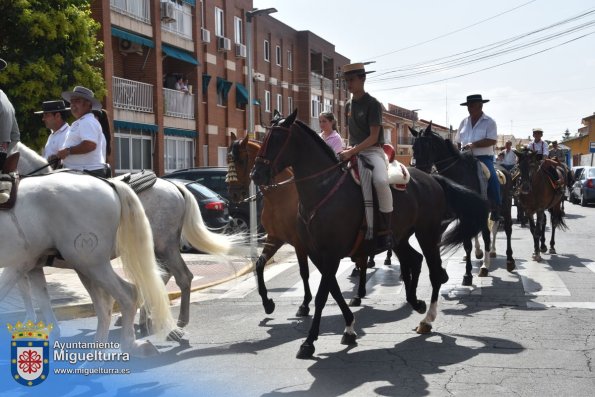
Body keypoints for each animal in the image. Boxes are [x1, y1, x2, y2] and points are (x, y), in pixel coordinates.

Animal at [11, 141, 235, 332]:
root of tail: (175, 186)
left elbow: (26, 291)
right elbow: (31, 293)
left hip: (164, 245)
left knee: (181, 276)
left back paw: (177, 321)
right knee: (162, 275)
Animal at [251, 109, 488, 358]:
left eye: (276, 139)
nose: (256, 174)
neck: (323, 190)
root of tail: (432, 178)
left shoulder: (331, 254)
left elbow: (322, 295)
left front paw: (309, 341)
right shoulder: (316, 254)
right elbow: (334, 290)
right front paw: (349, 327)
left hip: (428, 234)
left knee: (434, 272)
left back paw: (428, 318)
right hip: (401, 238)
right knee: (414, 260)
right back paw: (415, 302)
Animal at [412, 124, 516, 284]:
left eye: (427, 145)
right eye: (413, 147)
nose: (420, 172)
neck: (458, 174)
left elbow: (472, 240)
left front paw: (471, 272)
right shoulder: (458, 215)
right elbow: (465, 242)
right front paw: (466, 272)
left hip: (505, 207)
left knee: (507, 229)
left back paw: (507, 260)